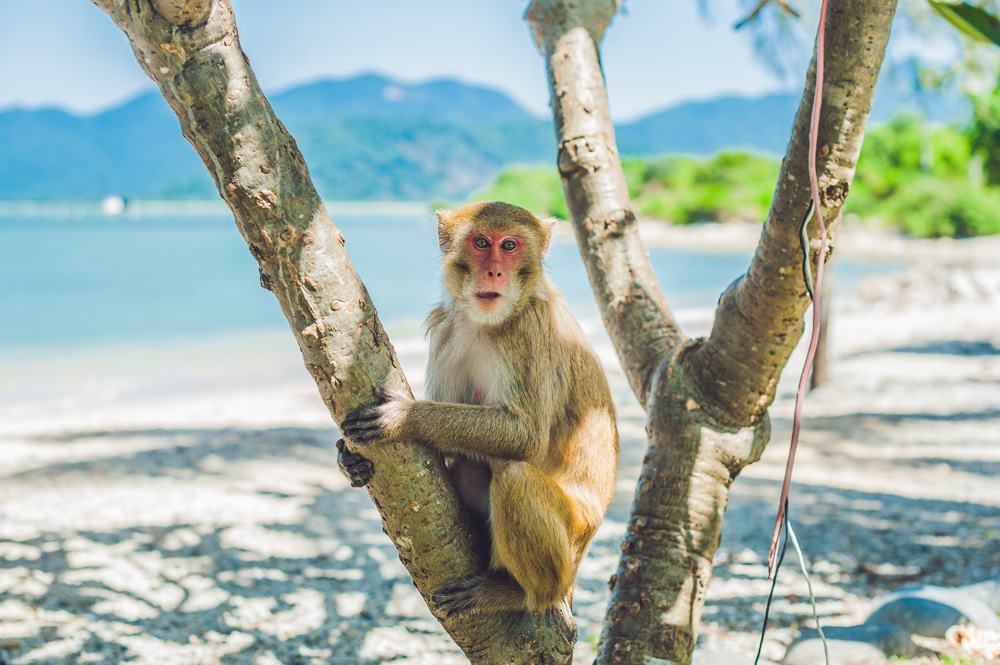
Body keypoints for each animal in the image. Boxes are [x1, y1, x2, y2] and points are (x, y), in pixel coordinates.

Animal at [337, 201, 619, 618]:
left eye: (510, 245)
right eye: (482, 243)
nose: (494, 271)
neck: (489, 323)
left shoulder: (532, 330)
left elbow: (527, 436)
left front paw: (404, 418)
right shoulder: (447, 329)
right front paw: (349, 462)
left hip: (573, 537)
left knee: (515, 479)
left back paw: (521, 595)